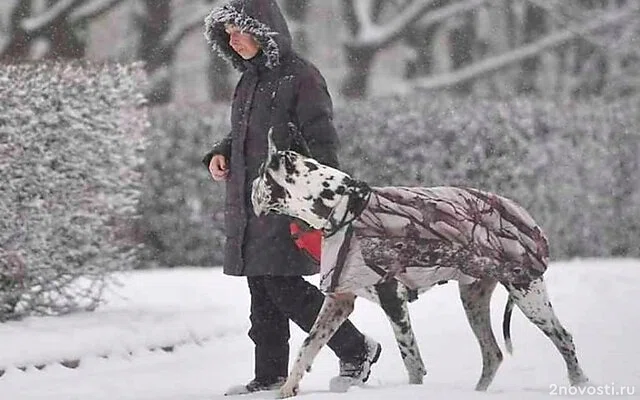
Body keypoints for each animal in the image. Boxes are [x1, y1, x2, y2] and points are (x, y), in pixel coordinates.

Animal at [250, 129, 592, 396]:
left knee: (564, 340)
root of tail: (524, 214)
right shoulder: (339, 300)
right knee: (493, 353)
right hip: (474, 299)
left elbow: (412, 361)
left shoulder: (393, 302)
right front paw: (286, 389)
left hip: (528, 294)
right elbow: (307, 347)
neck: (343, 206)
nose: (250, 188)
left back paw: (580, 385)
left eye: (260, 175)